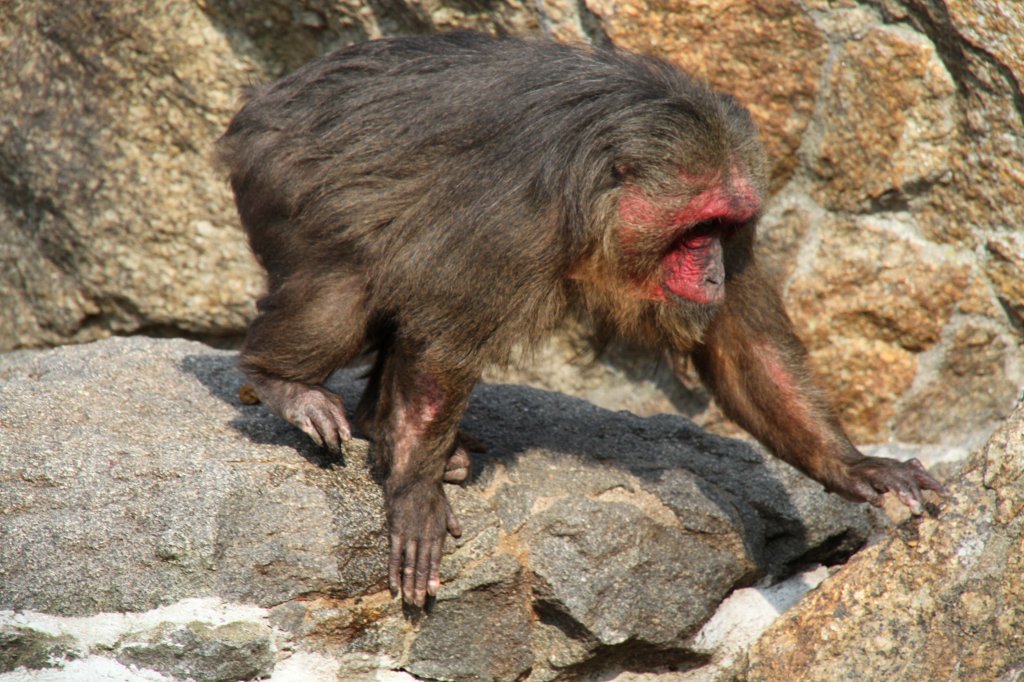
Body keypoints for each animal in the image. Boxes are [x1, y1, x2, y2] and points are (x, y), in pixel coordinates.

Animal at [218, 30, 942, 606]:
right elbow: (446, 338)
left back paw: (383, 425)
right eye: (695, 229)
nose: (711, 270)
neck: (591, 196)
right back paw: (284, 381)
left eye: (724, 225)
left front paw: (854, 465)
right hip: (278, 171)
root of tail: (265, 97)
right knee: (345, 283)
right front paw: (415, 490)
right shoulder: (511, 220)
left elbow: (740, 342)